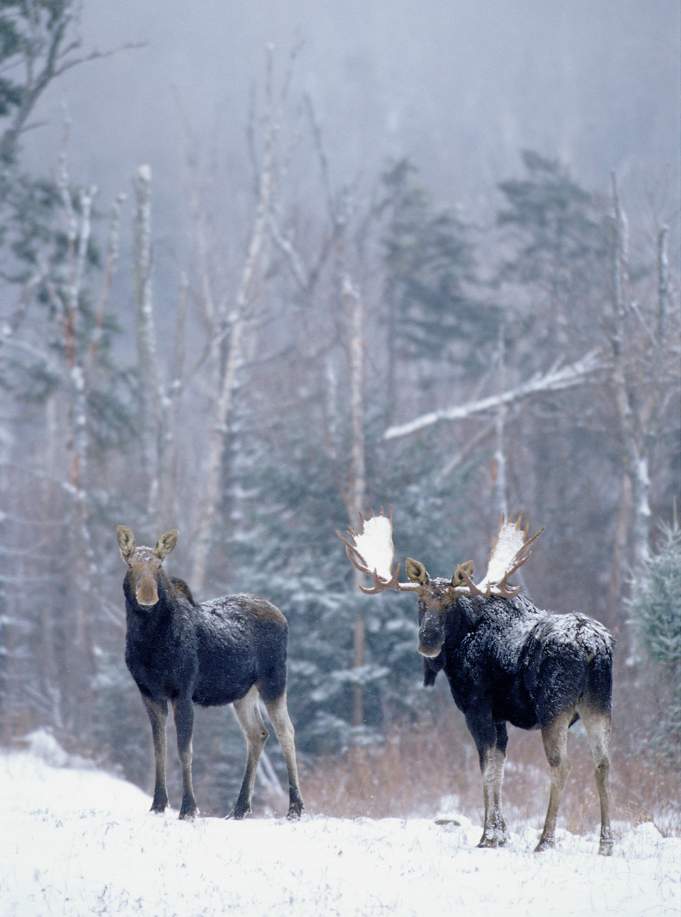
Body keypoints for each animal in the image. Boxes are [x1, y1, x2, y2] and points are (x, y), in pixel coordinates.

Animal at [116, 525, 304, 821]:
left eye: (159, 565)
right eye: (130, 564)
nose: (147, 597)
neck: (149, 645)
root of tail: (282, 616)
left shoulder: (182, 691)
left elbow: (185, 750)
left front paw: (188, 808)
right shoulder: (149, 693)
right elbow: (159, 749)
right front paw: (158, 804)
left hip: (273, 680)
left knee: (286, 731)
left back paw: (294, 807)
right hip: (243, 693)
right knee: (258, 733)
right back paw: (240, 808)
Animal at [338, 511, 614, 855]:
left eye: (448, 604)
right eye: (420, 602)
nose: (428, 642)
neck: (458, 647)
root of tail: (592, 646)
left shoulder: (476, 707)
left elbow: (487, 769)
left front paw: (489, 836)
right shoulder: (499, 717)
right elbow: (499, 768)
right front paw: (501, 833)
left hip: (554, 707)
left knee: (561, 765)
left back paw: (545, 840)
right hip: (599, 705)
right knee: (603, 763)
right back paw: (606, 843)